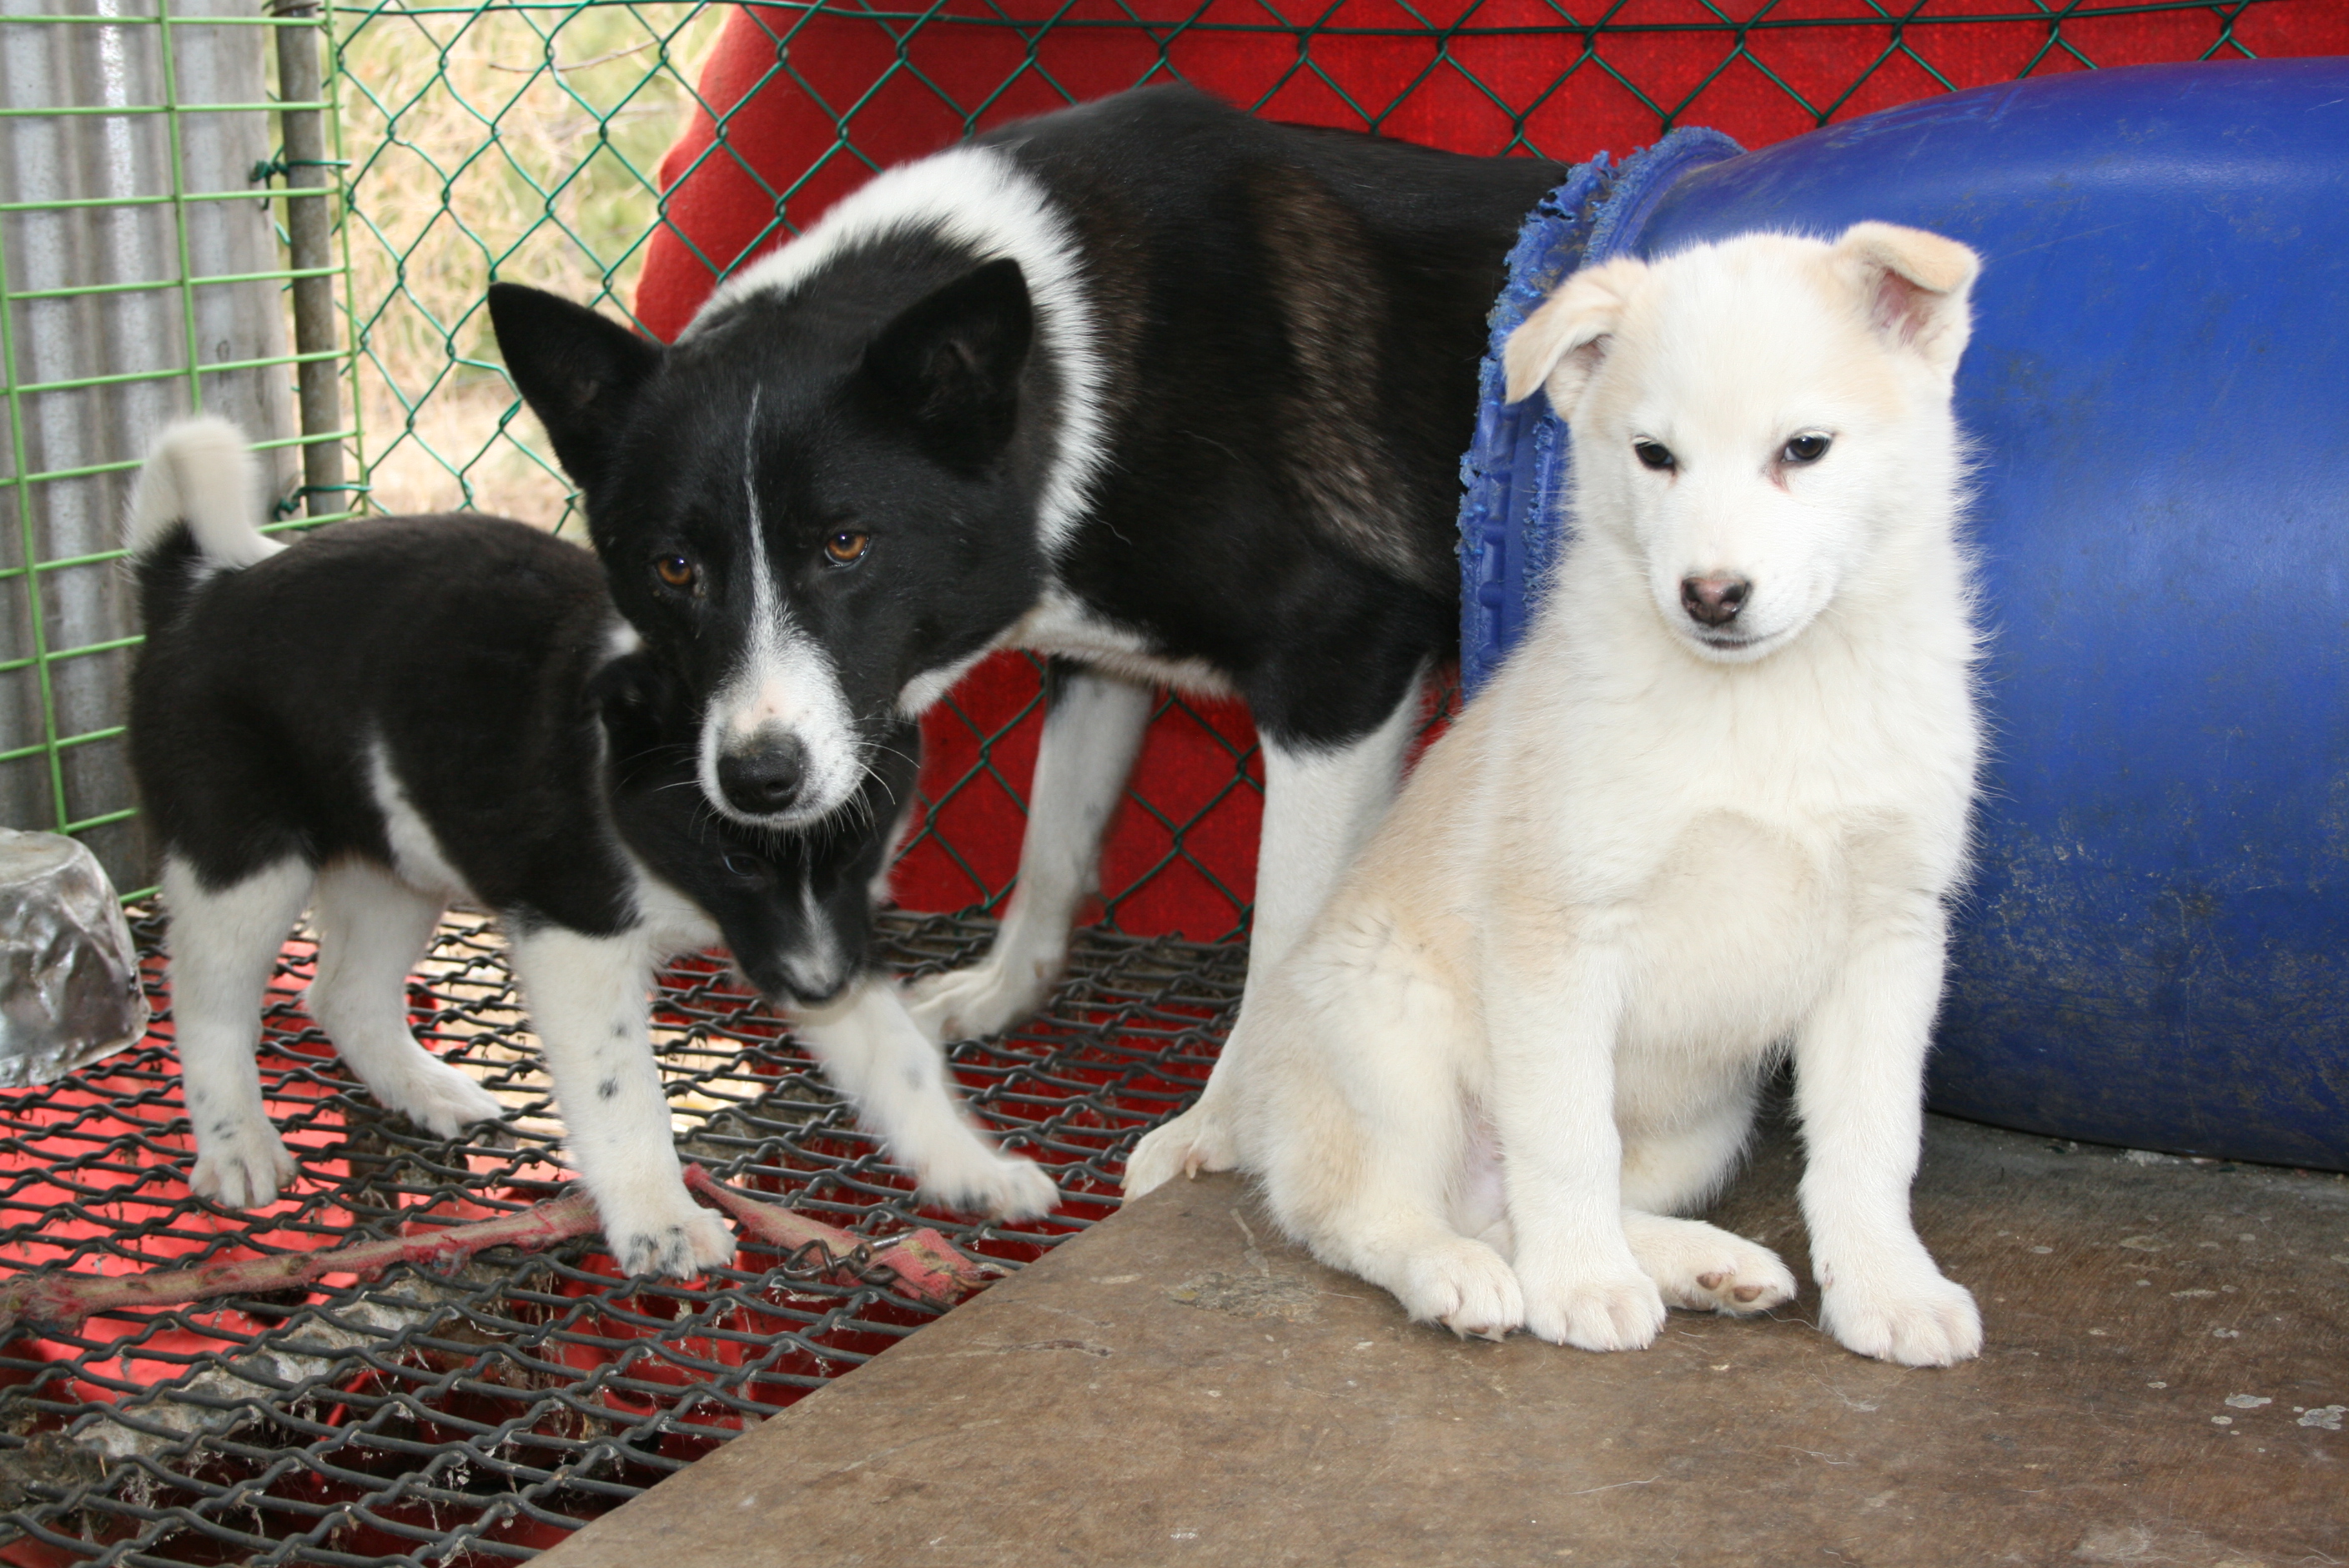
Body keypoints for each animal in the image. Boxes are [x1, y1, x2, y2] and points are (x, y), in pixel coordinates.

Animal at [125, 417, 1036, 1279]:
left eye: (859, 857)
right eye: (737, 860)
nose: (818, 991)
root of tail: (206, 587)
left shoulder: (825, 932)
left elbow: (900, 1058)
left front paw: (972, 1170)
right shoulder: (577, 937)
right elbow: (620, 1091)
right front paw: (659, 1222)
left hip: (398, 864)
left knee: (343, 994)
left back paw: (424, 1089)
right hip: (241, 860)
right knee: (210, 1006)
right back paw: (237, 1143)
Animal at [485, 86, 1567, 1197]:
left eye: (844, 543)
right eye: (673, 568)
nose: (756, 781)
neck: (1076, 366)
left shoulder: (1341, 668)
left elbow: (1281, 932)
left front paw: (1221, 1122)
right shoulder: (1093, 664)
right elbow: (1054, 840)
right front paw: (1006, 987)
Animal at [1144, 224, 1987, 1368]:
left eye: (1803, 448)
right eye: (1653, 455)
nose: (1709, 596)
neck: (1761, 701)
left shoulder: (1888, 936)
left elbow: (1869, 1143)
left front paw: (1888, 1289)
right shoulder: (1557, 930)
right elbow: (1565, 1133)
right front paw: (1583, 1283)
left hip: (1705, 1120)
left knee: (1509, 1210)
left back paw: (1698, 1262)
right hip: (1391, 1044)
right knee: (1357, 1212)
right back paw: (1463, 1274)